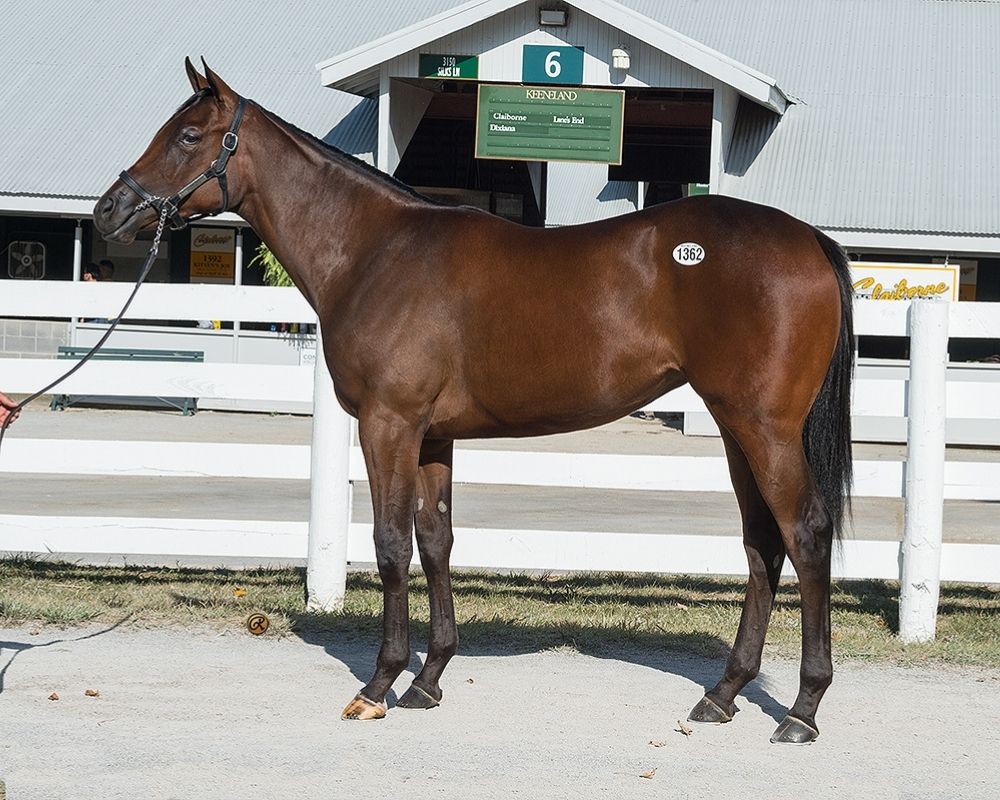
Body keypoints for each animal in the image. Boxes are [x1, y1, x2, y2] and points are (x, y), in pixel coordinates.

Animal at [95, 61, 852, 744]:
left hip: (764, 428)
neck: (375, 251)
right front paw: (428, 680)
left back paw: (803, 711)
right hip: (733, 428)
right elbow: (436, 541)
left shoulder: (388, 426)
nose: (109, 211)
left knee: (805, 534)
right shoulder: (432, 436)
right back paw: (723, 695)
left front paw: (379, 685)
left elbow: (391, 545)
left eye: (189, 135)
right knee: (761, 546)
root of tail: (808, 238)